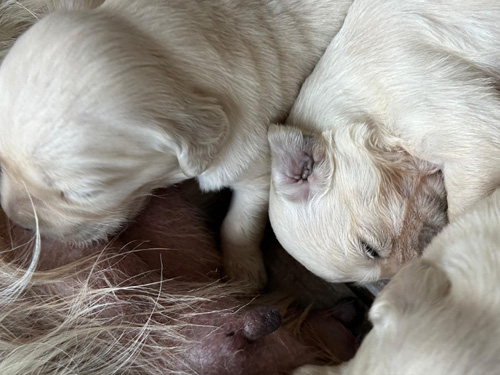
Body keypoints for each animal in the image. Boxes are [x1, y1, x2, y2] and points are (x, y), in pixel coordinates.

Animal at [0, 0, 354, 290]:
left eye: (83, 194)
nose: (18, 221)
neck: (166, 56)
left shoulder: (255, 163)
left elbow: (240, 222)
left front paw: (243, 272)